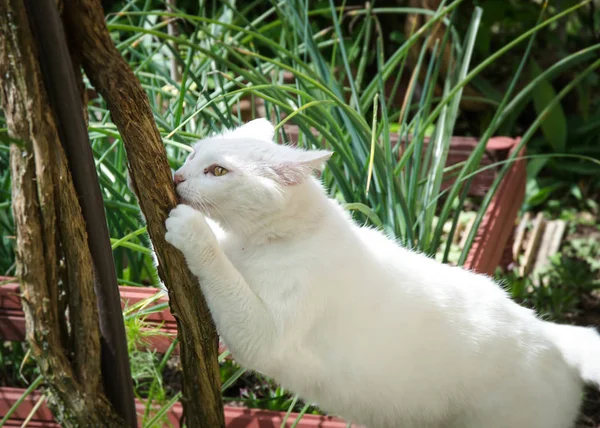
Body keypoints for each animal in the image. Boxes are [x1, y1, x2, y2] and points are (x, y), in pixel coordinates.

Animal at [164, 118, 600, 426]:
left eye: (218, 172)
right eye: (193, 154)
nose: (177, 176)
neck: (253, 241)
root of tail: (552, 333)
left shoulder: (262, 336)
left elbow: (219, 270)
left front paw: (190, 228)